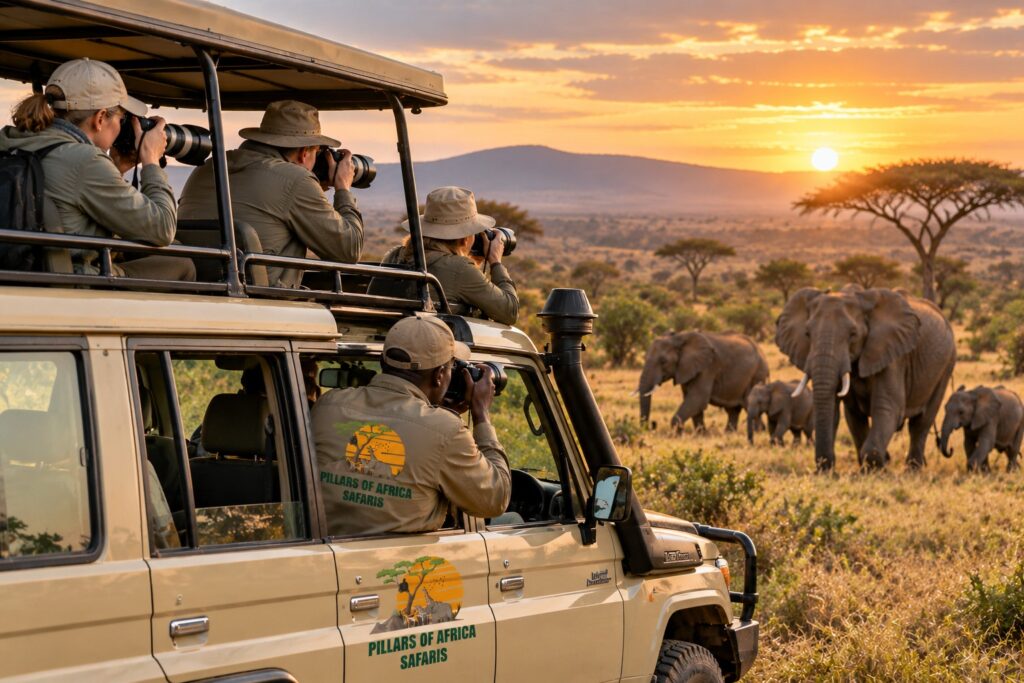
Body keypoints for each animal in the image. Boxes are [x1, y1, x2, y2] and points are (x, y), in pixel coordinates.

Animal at [638, 331, 769, 433]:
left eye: (663, 361)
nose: (652, 426)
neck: (680, 337)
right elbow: (692, 400)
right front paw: (701, 434)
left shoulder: (707, 367)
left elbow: (697, 398)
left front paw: (677, 433)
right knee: (733, 410)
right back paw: (730, 433)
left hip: (757, 375)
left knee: (750, 405)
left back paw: (759, 432)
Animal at [776, 286, 955, 472]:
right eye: (807, 334)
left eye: (853, 334)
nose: (826, 468)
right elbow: (847, 413)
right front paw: (865, 470)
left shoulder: (892, 356)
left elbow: (888, 407)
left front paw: (877, 469)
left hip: (946, 364)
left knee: (921, 423)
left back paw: (912, 471)